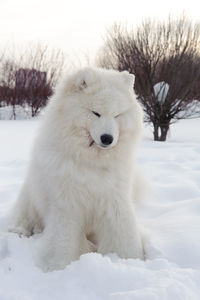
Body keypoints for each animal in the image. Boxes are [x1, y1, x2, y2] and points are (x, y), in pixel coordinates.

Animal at [9, 67, 144, 272]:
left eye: (117, 115)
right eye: (95, 113)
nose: (107, 138)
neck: (92, 162)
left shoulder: (114, 199)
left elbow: (122, 231)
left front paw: (130, 259)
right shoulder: (67, 204)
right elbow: (62, 238)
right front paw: (56, 265)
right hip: (29, 203)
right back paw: (19, 231)